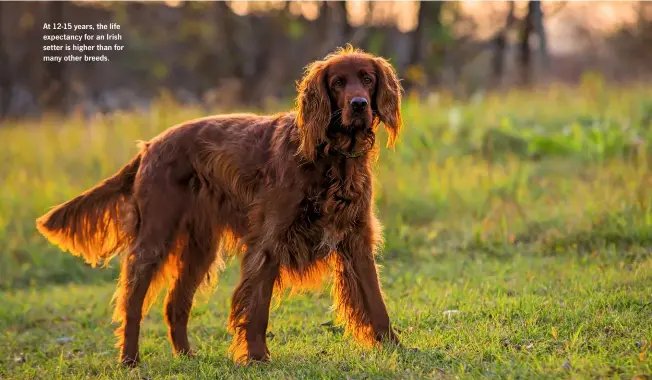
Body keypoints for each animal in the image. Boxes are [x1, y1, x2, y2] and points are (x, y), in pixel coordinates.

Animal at [37, 45, 402, 368]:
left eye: (367, 78)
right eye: (338, 82)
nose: (359, 104)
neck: (331, 157)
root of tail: (150, 146)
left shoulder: (357, 239)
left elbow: (376, 300)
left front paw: (394, 347)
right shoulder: (268, 243)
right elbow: (257, 308)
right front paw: (257, 358)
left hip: (200, 249)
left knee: (175, 304)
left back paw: (186, 356)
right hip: (154, 240)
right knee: (132, 302)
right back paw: (129, 359)